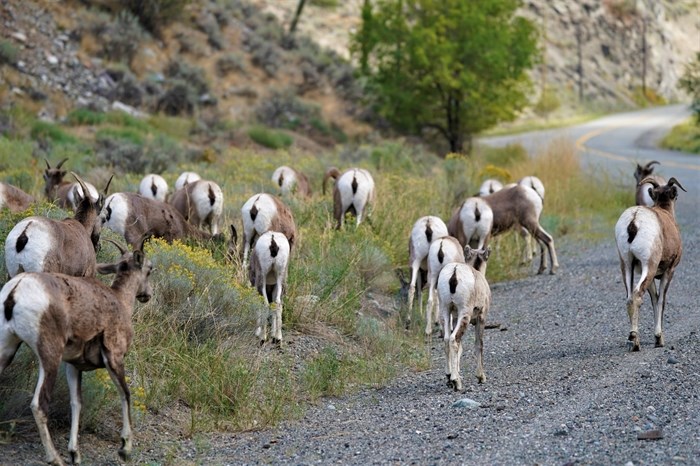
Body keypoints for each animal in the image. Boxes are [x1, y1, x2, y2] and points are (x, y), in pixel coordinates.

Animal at [438, 248, 492, 394]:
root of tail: (454, 272)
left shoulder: (455, 318)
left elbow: (461, 347)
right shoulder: (481, 318)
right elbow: (479, 344)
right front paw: (481, 377)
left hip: (445, 311)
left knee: (447, 339)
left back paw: (449, 377)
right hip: (464, 313)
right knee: (453, 340)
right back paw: (456, 382)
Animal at [616, 177, 688, 352]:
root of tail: (634, 220)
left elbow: (654, 299)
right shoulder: (669, 271)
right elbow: (661, 300)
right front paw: (659, 339)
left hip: (626, 265)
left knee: (630, 297)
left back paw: (633, 340)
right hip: (649, 265)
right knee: (636, 295)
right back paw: (634, 341)